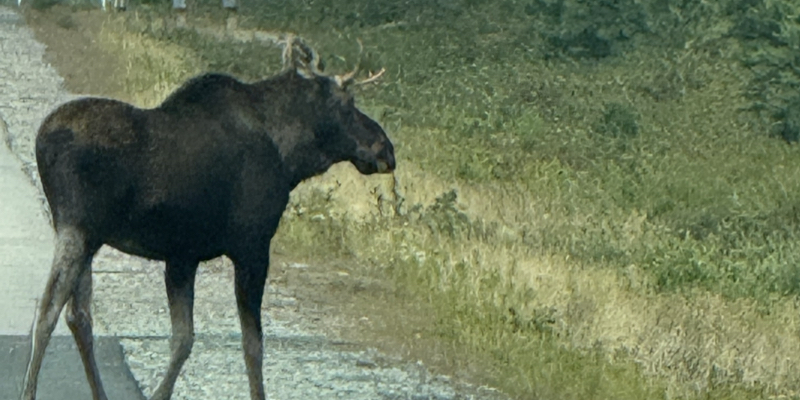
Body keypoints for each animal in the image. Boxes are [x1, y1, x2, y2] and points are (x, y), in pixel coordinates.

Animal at [19, 36, 394, 400]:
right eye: (348, 102)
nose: (385, 149)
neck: (289, 158)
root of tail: (41, 140)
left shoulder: (183, 256)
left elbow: (184, 338)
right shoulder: (252, 247)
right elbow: (252, 345)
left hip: (88, 235)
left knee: (78, 315)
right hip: (78, 228)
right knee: (48, 311)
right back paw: (29, 391)